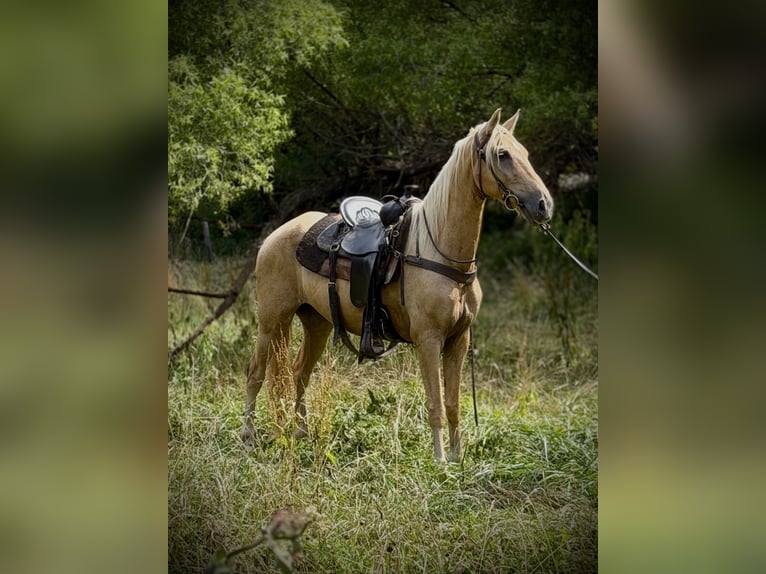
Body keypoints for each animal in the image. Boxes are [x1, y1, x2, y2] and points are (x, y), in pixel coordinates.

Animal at [240, 108, 554, 462]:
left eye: (524, 153)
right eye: (502, 155)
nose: (544, 204)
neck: (439, 251)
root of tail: (275, 236)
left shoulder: (458, 340)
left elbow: (453, 404)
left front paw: (458, 458)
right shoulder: (428, 340)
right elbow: (435, 405)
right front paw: (440, 461)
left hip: (316, 323)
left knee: (298, 372)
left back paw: (301, 433)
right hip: (271, 322)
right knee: (256, 373)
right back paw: (248, 437)